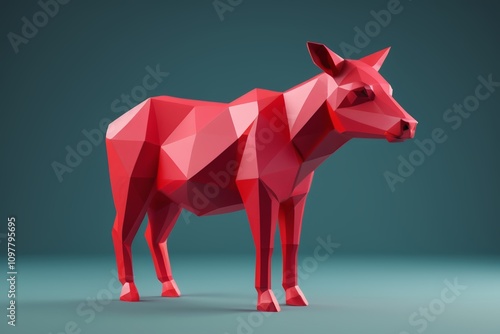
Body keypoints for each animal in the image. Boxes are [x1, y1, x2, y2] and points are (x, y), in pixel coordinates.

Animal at [105, 42, 418, 314]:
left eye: (389, 88)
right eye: (361, 91)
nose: (409, 124)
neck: (300, 143)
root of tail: (113, 124)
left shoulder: (296, 195)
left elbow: (291, 245)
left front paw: (296, 297)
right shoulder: (257, 189)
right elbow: (265, 245)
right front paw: (267, 301)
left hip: (168, 196)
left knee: (154, 236)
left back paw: (170, 287)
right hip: (132, 184)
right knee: (121, 230)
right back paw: (129, 291)